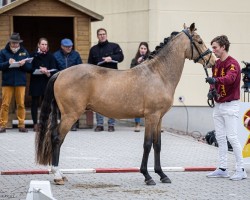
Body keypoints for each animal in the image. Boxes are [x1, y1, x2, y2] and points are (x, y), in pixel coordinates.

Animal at [35, 22, 217, 185]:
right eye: (199, 41)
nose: (213, 60)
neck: (158, 74)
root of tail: (60, 73)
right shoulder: (151, 117)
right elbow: (147, 145)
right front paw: (147, 176)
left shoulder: (159, 118)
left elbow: (157, 145)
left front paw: (162, 175)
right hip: (70, 115)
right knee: (57, 138)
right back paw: (57, 175)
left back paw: (60, 174)